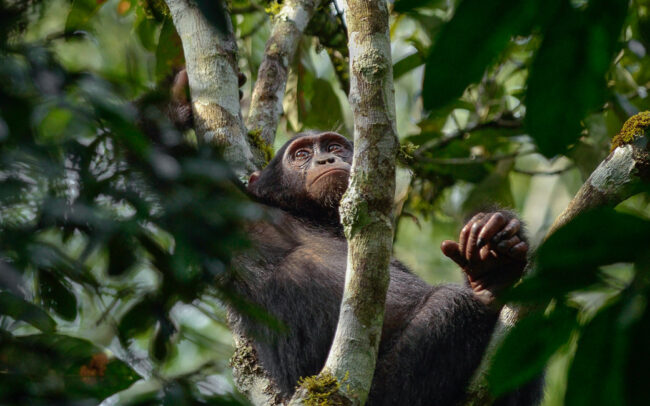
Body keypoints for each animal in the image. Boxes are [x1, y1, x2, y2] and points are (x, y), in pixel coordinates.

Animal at [165, 72, 540, 406]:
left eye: (334, 146)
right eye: (301, 155)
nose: (326, 158)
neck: (315, 217)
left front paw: (495, 239)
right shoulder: (238, 216)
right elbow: (175, 179)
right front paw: (179, 97)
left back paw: (493, 276)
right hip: (385, 392)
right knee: (453, 305)